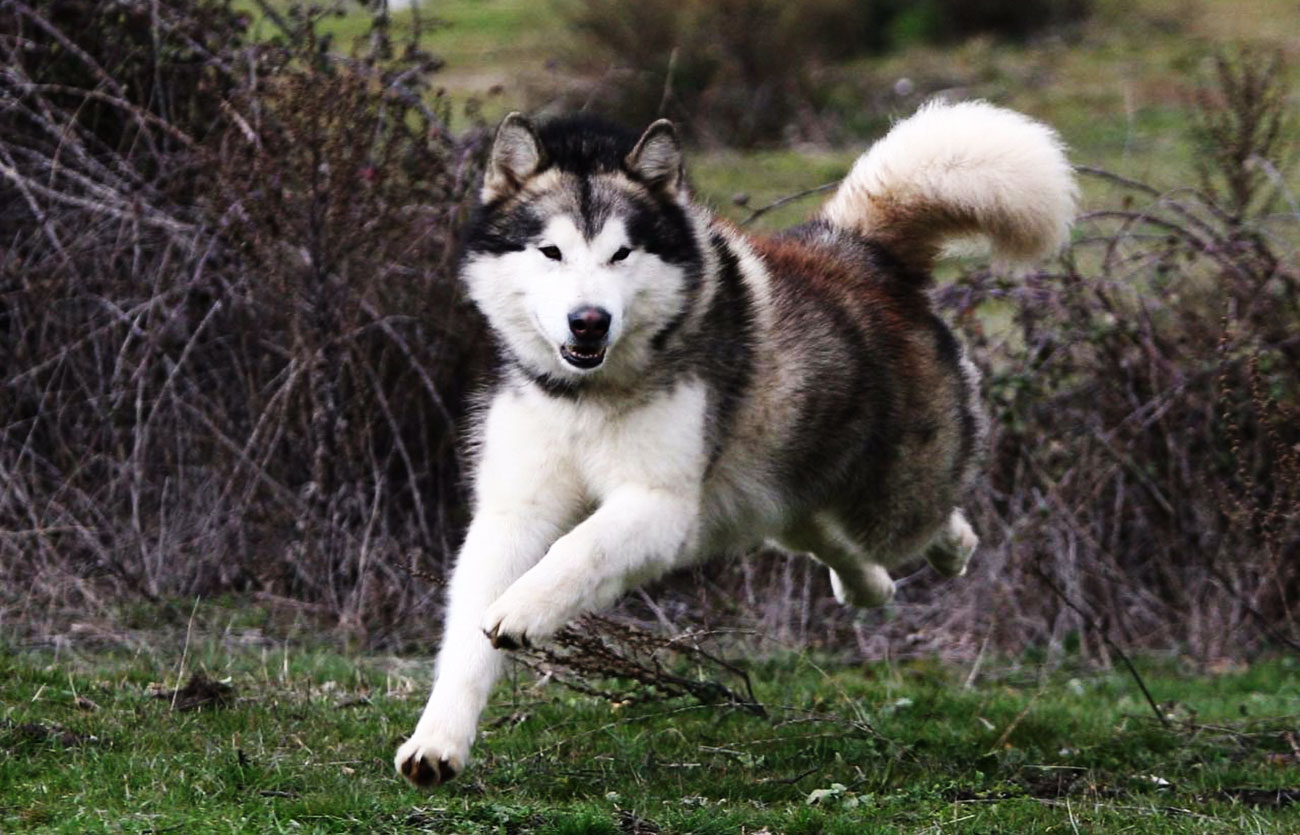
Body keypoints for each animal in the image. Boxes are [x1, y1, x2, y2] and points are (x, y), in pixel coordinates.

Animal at [392, 100, 1076, 785]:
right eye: (551, 251)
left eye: (621, 254)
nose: (589, 322)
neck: (588, 394)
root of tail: (857, 250)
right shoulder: (513, 512)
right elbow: (467, 639)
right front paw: (438, 742)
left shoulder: (661, 505)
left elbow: (578, 550)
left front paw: (524, 610)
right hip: (765, 493)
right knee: (823, 534)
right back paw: (868, 587)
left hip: (889, 503)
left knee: (924, 522)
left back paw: (951, 548)